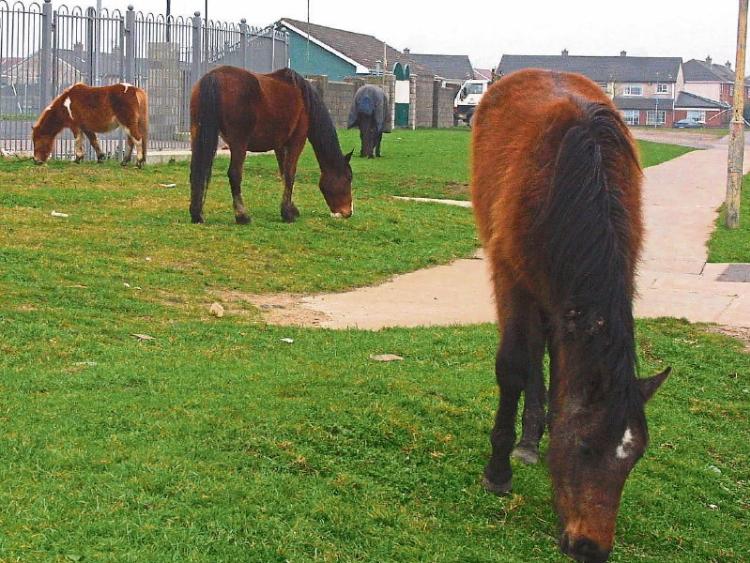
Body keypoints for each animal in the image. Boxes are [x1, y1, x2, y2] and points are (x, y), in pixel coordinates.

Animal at [189, 66, 354, 224]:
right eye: (348, 178)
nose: (348, 212)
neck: (303, 99)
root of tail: (214, 76)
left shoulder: (280, 145)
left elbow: (284, 173)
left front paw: (291, 208)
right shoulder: (297, 141)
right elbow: (290, 174)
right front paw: (287, 213)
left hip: (197, 134)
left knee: (197, 170)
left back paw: (197, 214)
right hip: (238, 143)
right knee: (234, 173)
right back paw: (242, 216)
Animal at [471, 69, 670, 562]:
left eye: (635, 457)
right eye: (583, 447)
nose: (590, 547)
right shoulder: (511, 277)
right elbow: (513, 368)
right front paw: (498, 470)